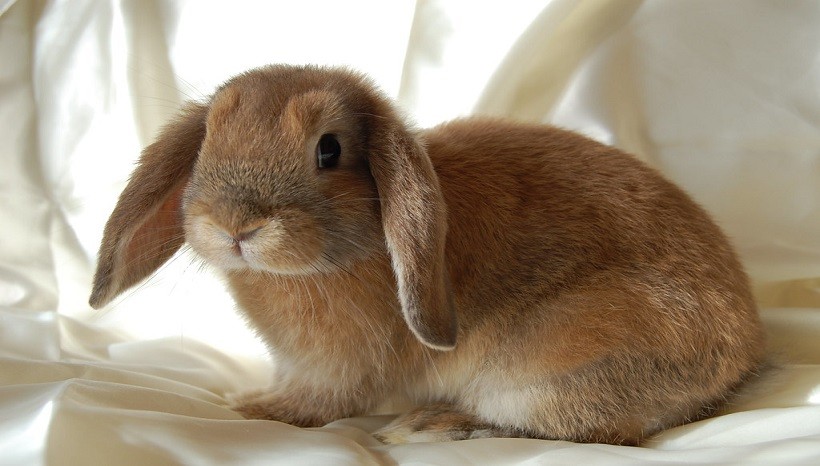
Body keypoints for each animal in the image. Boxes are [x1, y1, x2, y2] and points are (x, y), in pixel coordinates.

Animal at [89, 63, 764, 446]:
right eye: (209, 139)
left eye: (329, 150)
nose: (236, 225)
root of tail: (742, 349)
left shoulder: (339, 370)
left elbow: (317, 403)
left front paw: (255, 409)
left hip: (549, 364)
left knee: (591, 432)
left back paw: (429, 425)